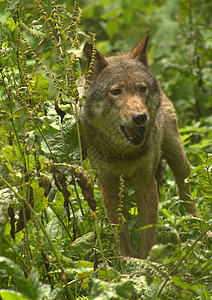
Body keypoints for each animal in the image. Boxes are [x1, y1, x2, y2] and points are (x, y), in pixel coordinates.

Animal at [80, 32, 199, 258]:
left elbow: (148, 233)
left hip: (179, 158)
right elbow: (121, 235)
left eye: (142, 89)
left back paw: (197, 231)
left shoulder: (146, 183)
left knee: (184, 190)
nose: (140, 117)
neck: (124, 154)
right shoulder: (108, 187)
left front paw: (147, 262)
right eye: (116, 92)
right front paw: (127, 263)